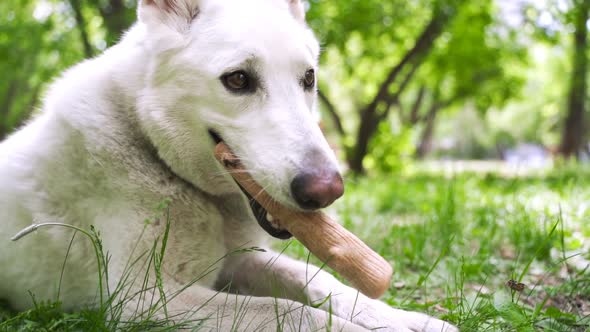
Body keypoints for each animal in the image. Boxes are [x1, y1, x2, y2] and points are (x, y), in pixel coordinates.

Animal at [0, 1, 458, 330]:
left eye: (309, 78)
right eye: (238, 80)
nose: (326, 191)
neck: (147, 144)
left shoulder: (237, 262)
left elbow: (320, 280)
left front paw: (401, 319)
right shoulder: (144, 298)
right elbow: (290, 311)